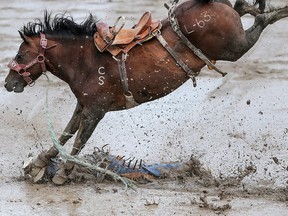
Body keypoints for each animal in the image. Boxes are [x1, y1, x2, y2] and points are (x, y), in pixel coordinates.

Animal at [3, 0, 288, 185]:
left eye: (20, 55)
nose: (8, 83)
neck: (86, 59)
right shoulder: (83, 106)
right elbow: (65, 135)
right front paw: (39, 163)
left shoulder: (95, 110)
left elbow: (78, 141)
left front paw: (63, 173)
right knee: (243, 7)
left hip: (235, 47)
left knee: (261, 20)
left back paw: (279, 11)